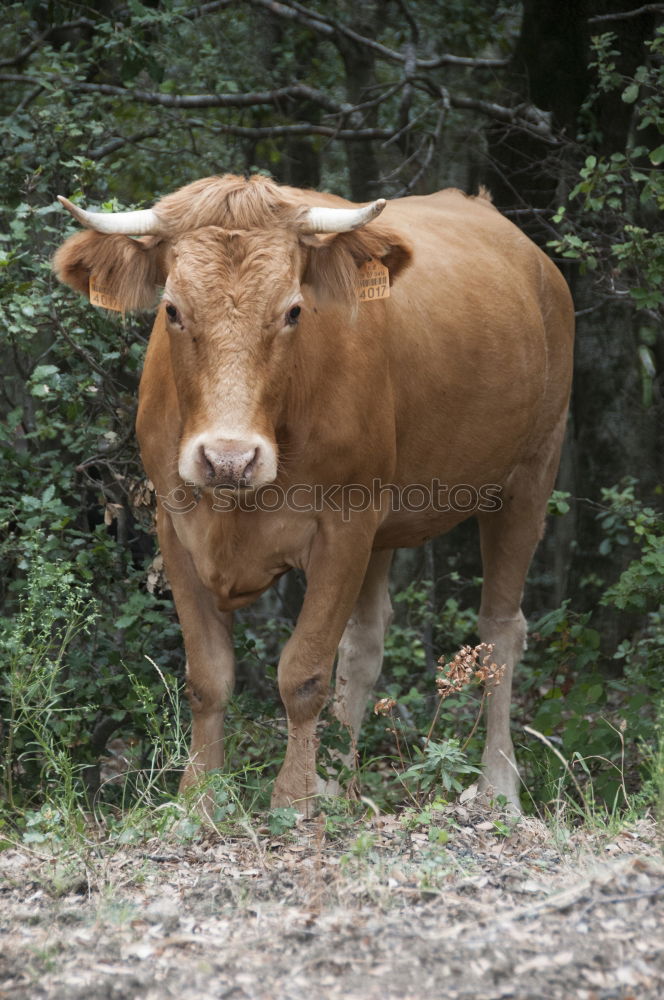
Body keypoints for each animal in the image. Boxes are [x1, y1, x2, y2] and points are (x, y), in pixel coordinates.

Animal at [53, 174, 572, 812]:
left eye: (294, 310)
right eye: (172, 309)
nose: (229, 458)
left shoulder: (343, 526)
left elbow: (302, 673)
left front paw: (295, 800)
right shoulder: (175, 526)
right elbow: (207, 678)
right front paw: (199, 801)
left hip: (530, 474)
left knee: (499, 631)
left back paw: (498, 785)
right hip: (388, 522)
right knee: (366, 644)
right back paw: (342, 781)